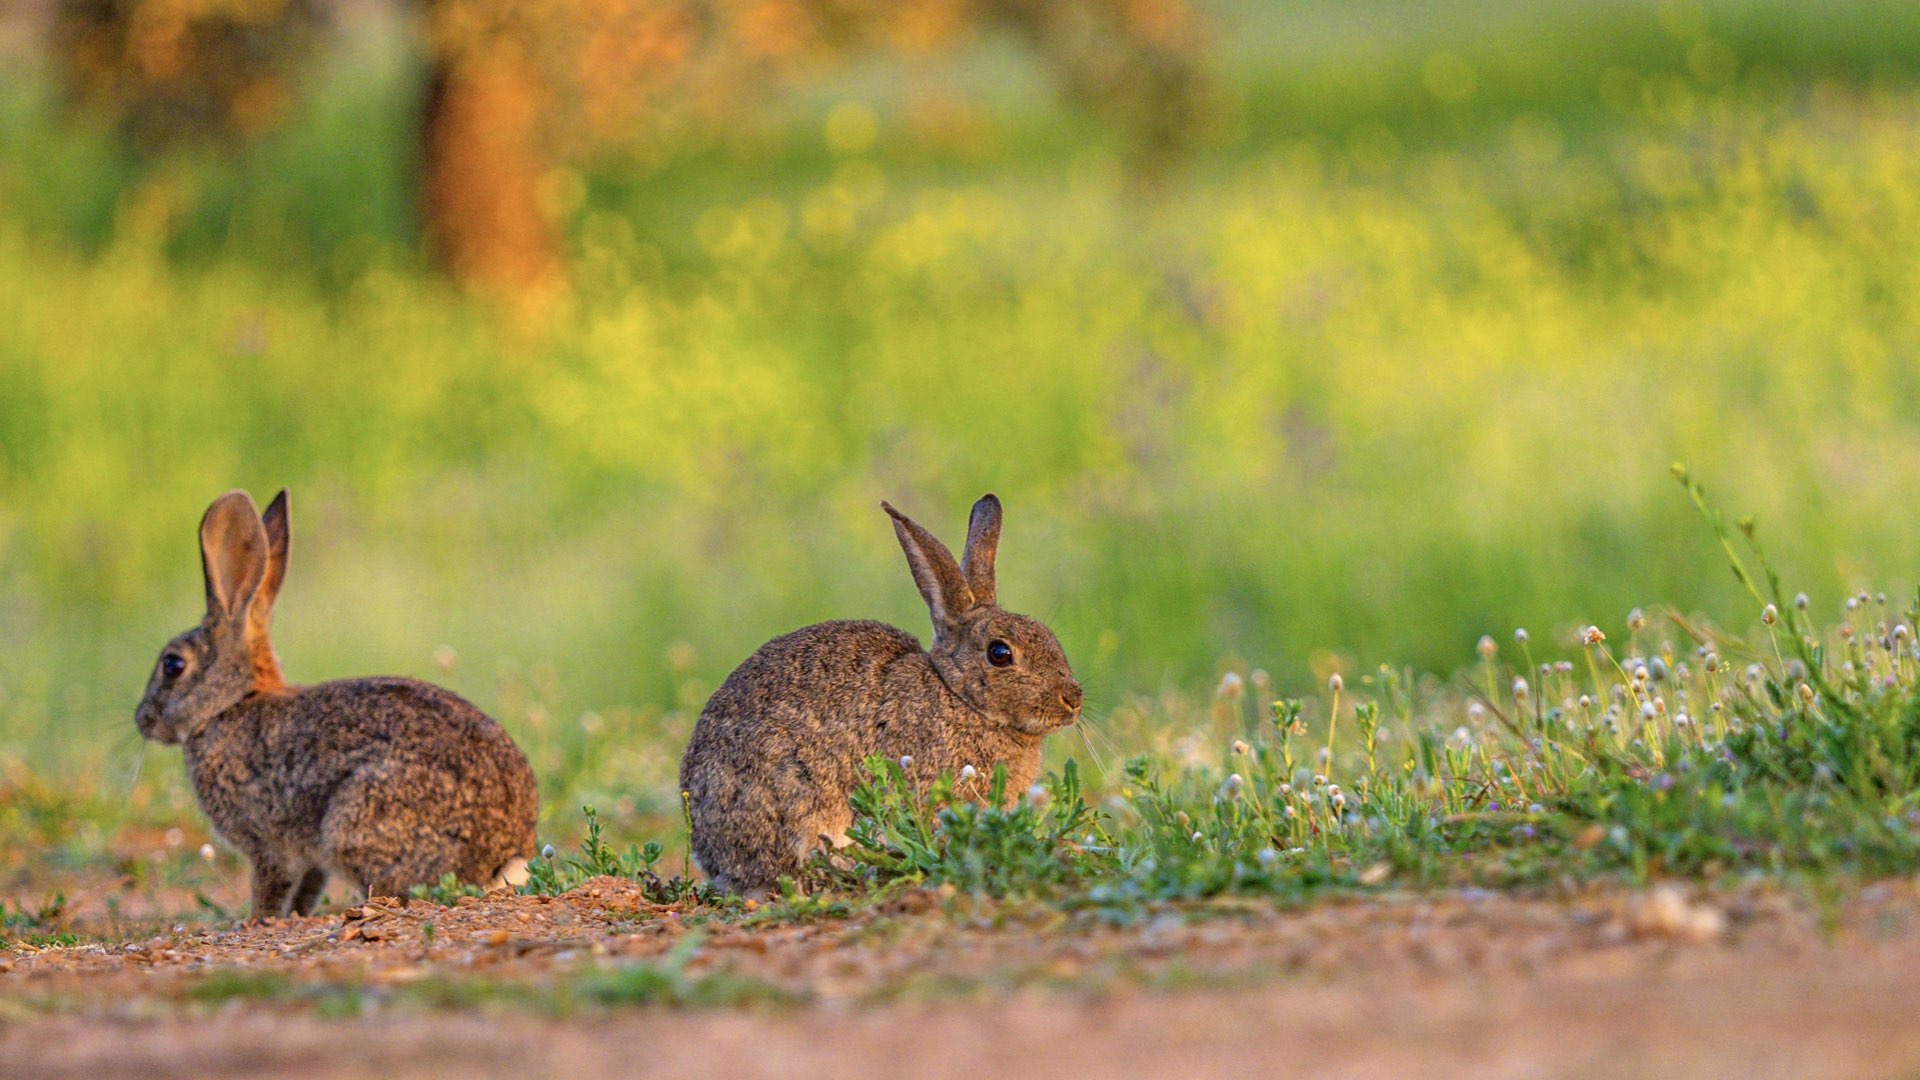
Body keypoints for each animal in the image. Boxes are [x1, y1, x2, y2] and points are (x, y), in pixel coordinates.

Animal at [134, 489, 539, 919]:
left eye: (173, 665)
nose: (143, 720)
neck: (230, 704)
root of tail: (502, 855)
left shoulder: (268, 844)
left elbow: (270, 888)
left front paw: (254, 922)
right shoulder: (310, 860)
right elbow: (306, 892)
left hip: (358, 825)